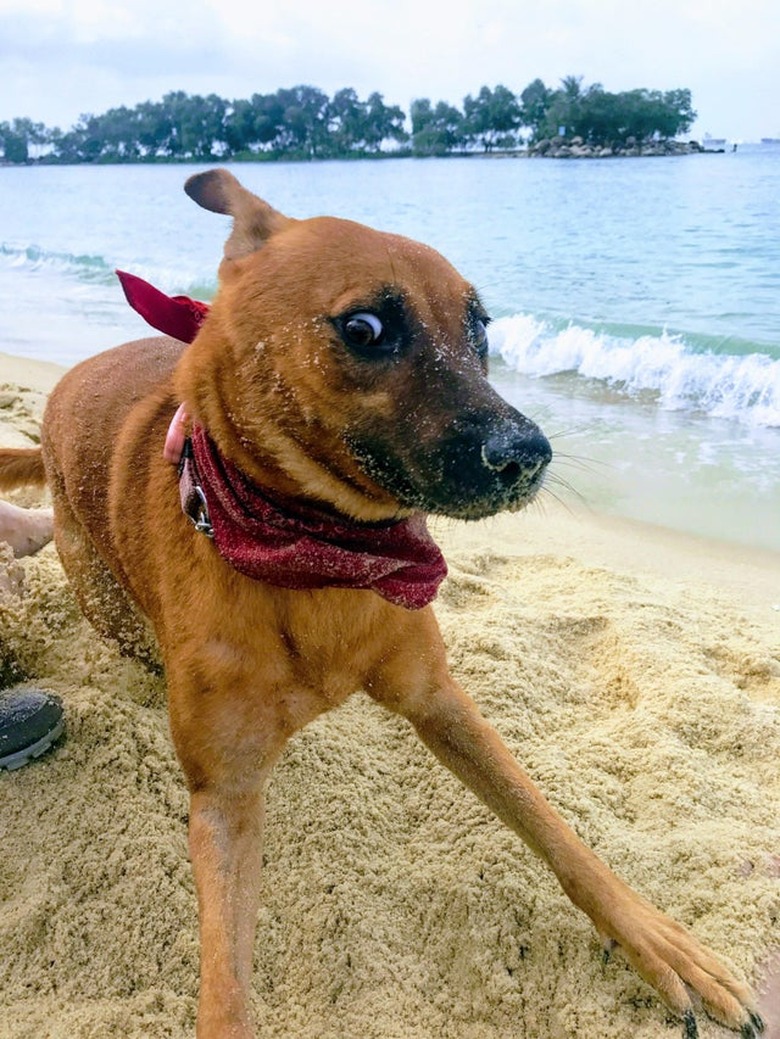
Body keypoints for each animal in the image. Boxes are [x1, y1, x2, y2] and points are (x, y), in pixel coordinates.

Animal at [0, 172, 764, 1039]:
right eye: (366, 327)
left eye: (481, 329)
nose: (528, 455)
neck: (318, 556)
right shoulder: (223, 801)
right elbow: (224, 984)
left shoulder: (439, 697)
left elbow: (553, 827)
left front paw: (660, 942)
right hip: (104, 596)